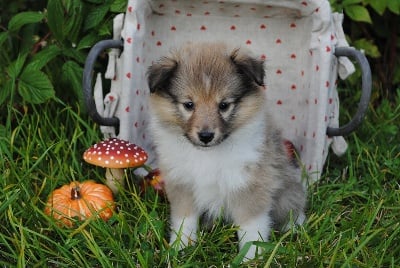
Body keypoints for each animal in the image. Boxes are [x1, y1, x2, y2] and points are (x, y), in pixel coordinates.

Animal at [147, 42, 306, 260]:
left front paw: (251, 257)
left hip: (286, 191)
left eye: (224, 105)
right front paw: (180, 248)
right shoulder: (182, 183)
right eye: (189, 104)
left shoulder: (248, 183)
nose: (206, 136)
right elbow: (184, 220)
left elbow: (251, 226)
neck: (207, 155)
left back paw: (294, 228)